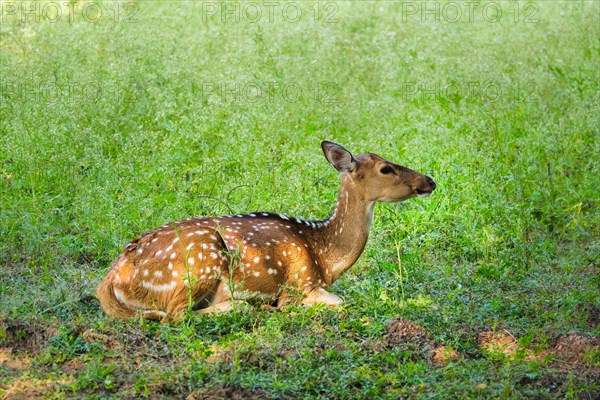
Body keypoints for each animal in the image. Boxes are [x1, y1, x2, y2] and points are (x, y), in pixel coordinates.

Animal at [97, 141, 436, 322]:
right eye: (386, 169)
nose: (429, 180)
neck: (324, 256)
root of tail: (113, 278)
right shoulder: (300, 283)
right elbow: (336, 301)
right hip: (199, 263)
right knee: (175, 315)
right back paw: (242, 305)